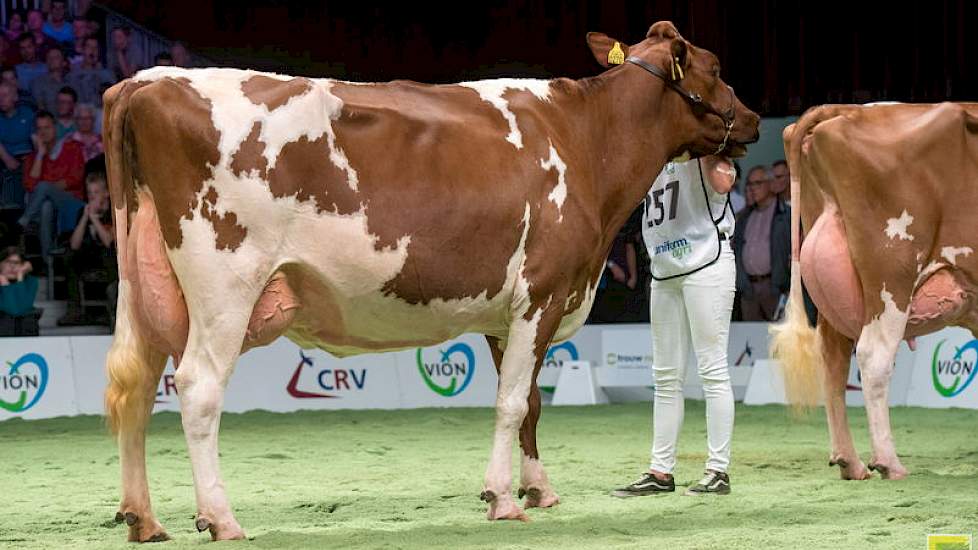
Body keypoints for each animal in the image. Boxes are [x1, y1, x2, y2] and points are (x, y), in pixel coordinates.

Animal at [101, 22, 756, 544]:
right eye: (716, 69)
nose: (751, 120)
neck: (584, 139)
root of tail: (148, 81)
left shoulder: (507, 310)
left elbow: (531, 403)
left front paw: (538, 489)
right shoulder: (541, 293)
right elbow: (510, 403)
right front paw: (502, 499)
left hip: (142, 284)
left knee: (135, 390)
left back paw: (143, 519)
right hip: (226, 284)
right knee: (198, 389)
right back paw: (221, 518)